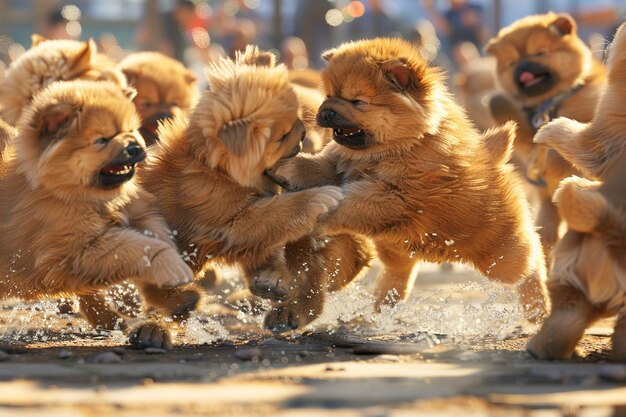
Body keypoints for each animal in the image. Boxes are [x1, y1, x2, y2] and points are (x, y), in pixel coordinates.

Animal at [0, 79, 194, 342]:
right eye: (103, 139)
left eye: (131, 130)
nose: (135, 147)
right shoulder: (74, 253)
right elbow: (140, 248)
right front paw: (173, 269)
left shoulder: (136, 215)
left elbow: (155, 236)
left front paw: (177, 295)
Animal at [141, 44, 360, 324]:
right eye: (282, 136)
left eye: (298, 118)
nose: (303, 134)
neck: (218, 171)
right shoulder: (232, 222)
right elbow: (278, 211)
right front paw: (319, 197)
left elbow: (270, 248)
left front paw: (270, 279)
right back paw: (182, 302)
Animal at [266, 37, 544, 324]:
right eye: (329, 95)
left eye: (357, 101)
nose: (326, 111)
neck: (398, 148)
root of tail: (494, 159)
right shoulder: (338, 166)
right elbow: (317, 167)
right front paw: (286, 167)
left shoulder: (397, 195)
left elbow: (349, 200)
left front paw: (319, 212)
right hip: (399, 249)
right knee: (397, 277)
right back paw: (382, 309)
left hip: (500, 256)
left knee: (532, 264)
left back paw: (539, 308)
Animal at [482, 13, 604, 255]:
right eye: (512, 63)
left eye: (540, 53)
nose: (523, 68)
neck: (552, 102)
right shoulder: (529, 145)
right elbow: (501, 107)